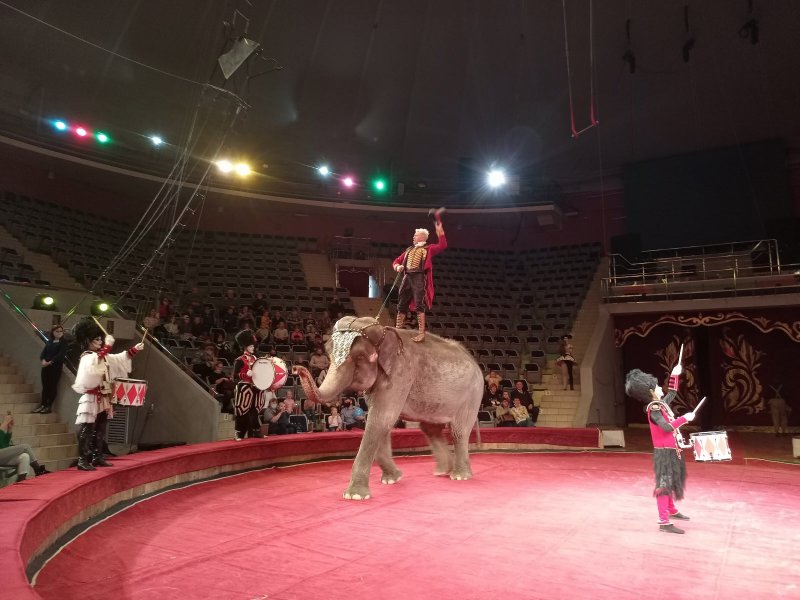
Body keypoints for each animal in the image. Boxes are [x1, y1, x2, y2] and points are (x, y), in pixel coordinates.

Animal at [294, 316, 482, 500]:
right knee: (430, 429)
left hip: (471, 395)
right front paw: (392, 479)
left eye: (360, 357)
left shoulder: (401, 373)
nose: (297, 368)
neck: (383, 331)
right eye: (328, 353)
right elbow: (380, 422)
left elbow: (381, 419)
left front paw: (354, 496)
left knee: (459, 432)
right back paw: (442, 471)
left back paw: (460, 476)